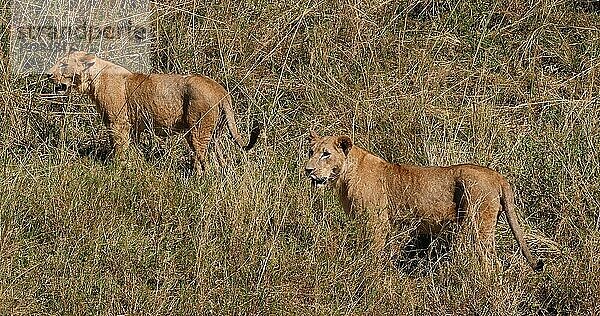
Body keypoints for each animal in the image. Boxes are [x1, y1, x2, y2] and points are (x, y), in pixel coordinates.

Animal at [49, 51, 258, 175]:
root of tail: (220, 90)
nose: (48, 74)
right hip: (214, 132)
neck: (93, 79)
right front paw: (132, 164)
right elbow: (131, 147)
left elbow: (119, 147)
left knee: (203, 159)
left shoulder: (118, 123)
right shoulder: (132, 126)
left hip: (198, 130)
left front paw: (117, 168)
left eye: (63, 64)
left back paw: (198, 180)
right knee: (220, 157)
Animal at [304, 131, 544, 272]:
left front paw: (368, 272)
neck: (344, 177)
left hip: (478, 224)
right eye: (310, 152)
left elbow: (373, 251)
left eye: (326, 154)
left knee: (491, 261)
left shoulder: (376, 221)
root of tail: (496, 175)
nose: (308, 170)